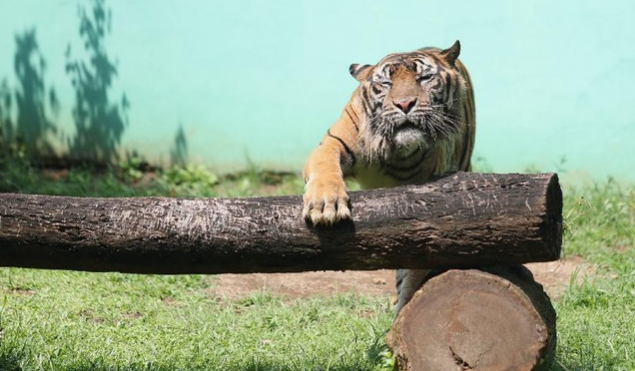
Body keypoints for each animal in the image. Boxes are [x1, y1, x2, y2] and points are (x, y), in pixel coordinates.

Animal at [304, 40, 476, 314]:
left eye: (425, 78)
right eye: (385, 83)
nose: (404, 104)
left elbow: (413, 272)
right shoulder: (332, 143)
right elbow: (324, 166)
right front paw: (325, 206)